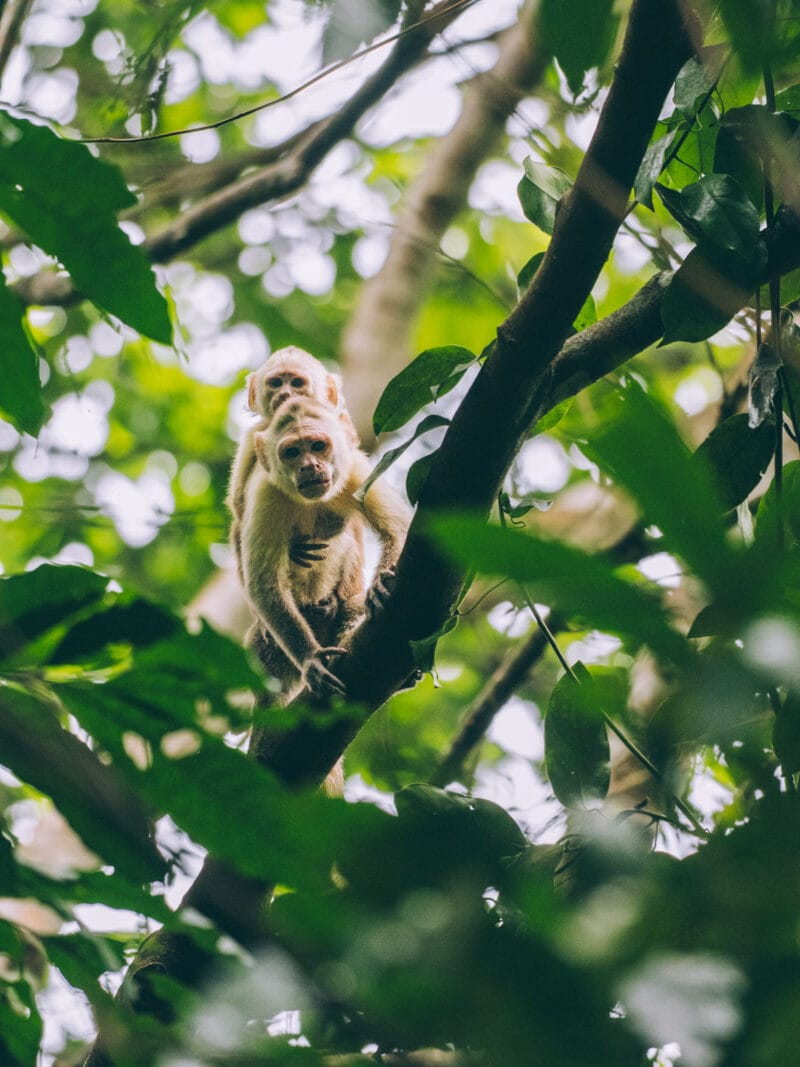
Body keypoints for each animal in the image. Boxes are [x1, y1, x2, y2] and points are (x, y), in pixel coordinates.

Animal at [237, 395, 412, 702]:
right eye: (292, 452)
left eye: (318, 446)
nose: (309, 466)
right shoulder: (265, 494)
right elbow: (264, 585)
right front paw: (312, 660)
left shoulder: (356, 471)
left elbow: (398, 529)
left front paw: (380, 582)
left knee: (353, 606)